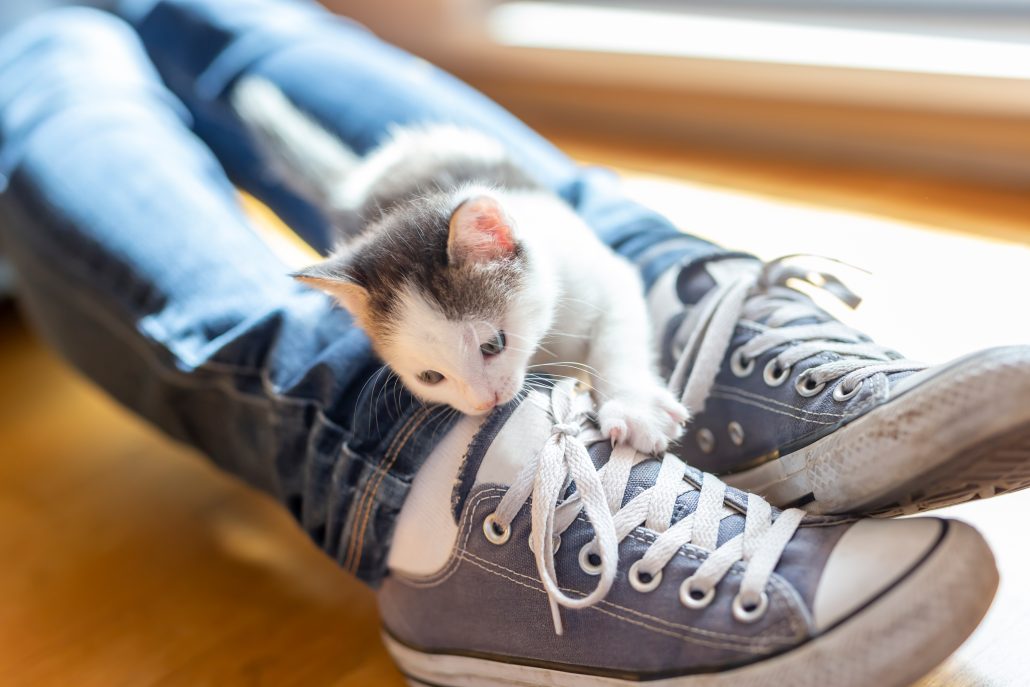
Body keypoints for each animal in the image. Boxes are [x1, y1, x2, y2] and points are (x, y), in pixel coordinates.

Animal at [229, 77, 688, 453]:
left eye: (493, 346)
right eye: (431, 378)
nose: (485, 401)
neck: (545, 340)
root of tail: (362, 177)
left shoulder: (605, 274)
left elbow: (618, 340)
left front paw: (635, 408)